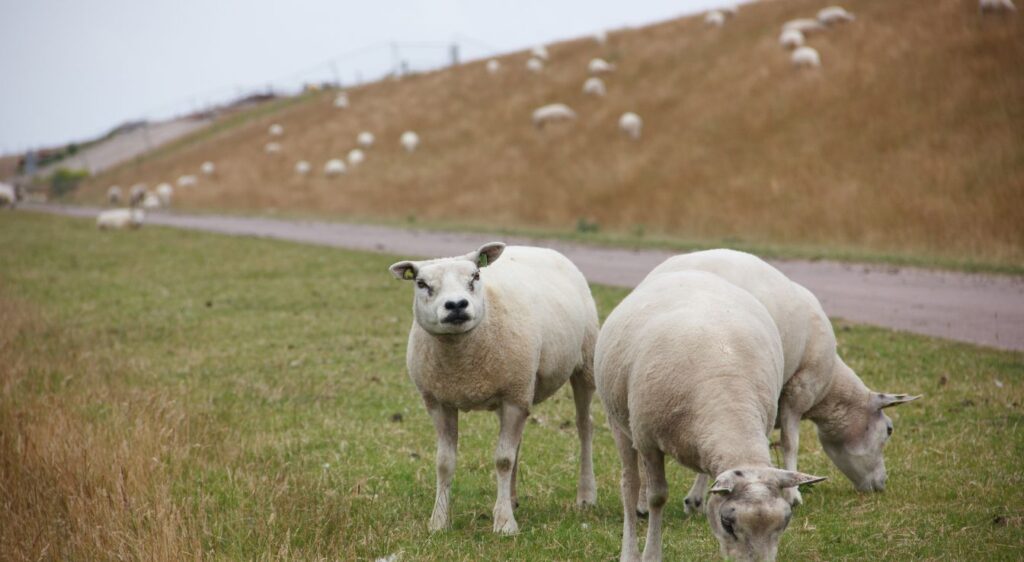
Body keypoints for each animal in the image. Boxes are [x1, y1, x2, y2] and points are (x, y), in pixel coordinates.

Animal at [388, 242, 600, 534]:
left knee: (584, 426)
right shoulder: (439, 402)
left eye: (475, 276)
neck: (463, 365)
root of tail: (538, 247)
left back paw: (586, 496)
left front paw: (504, 524)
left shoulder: (514, 398)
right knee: (517, 443)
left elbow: (503, 460)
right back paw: (511, 497)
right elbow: (444, 463)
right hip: (517, 388)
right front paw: (439, 521)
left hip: (583, 364)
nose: (456, 305)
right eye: (421, 283)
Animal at [596, 270, 826, 562]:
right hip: (619, 422)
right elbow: (657, 497)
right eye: (728, 523)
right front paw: (651, 554)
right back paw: (629, 550)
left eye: (785, 522)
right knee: (630, 485)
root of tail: (690, 272)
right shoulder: (647, 441)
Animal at [637, 250, 921, 512]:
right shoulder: (798, 391)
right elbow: (790, 443)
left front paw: (697, 499)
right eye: (889, 430)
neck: (829, 391)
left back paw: (641, 504)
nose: (881, 485)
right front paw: (793, 495)